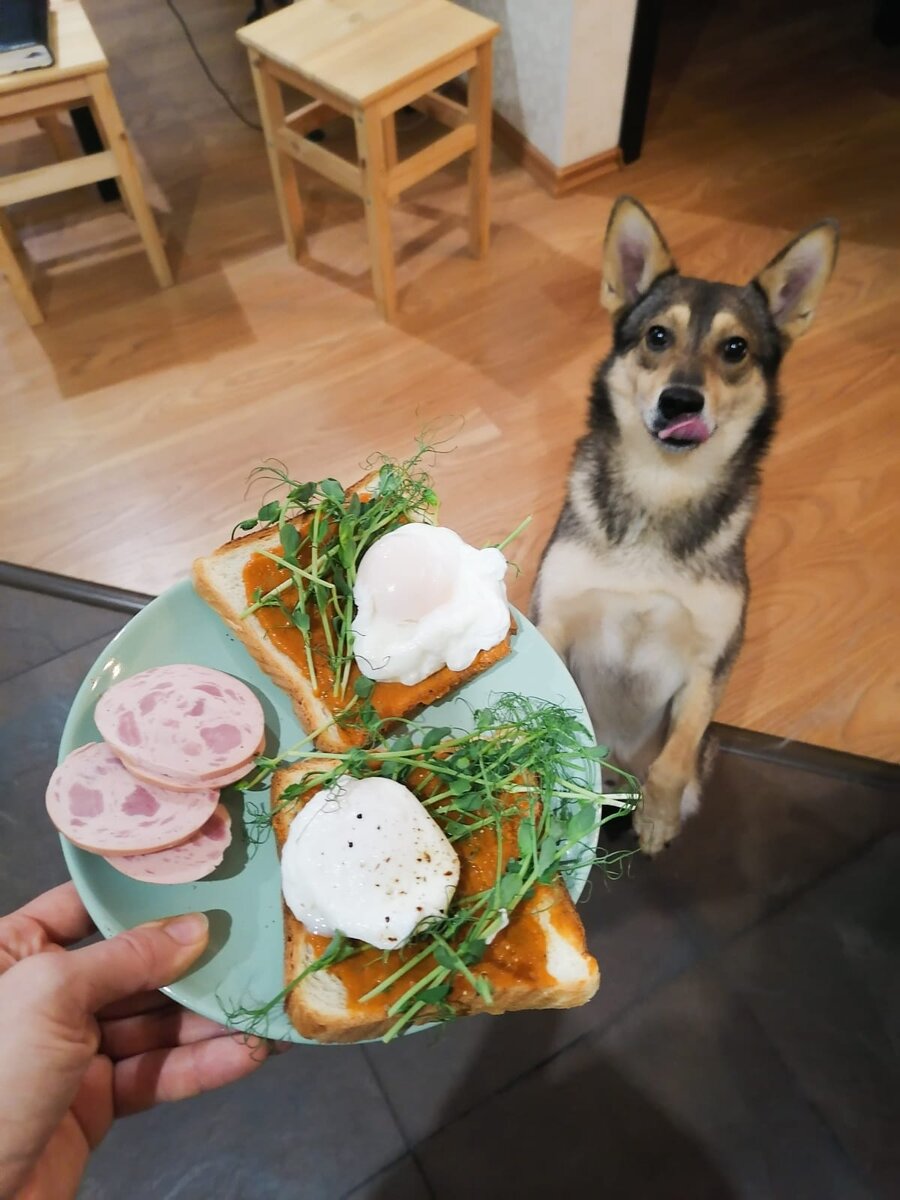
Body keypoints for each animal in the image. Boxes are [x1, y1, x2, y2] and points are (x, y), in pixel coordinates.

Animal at [531, 197, 838, 855]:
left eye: (736, 349)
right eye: (657, 336)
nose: (680, 401)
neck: (662, 488)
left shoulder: (708, 665)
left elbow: (674, 759)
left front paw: (658, 820)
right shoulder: (557, 621)